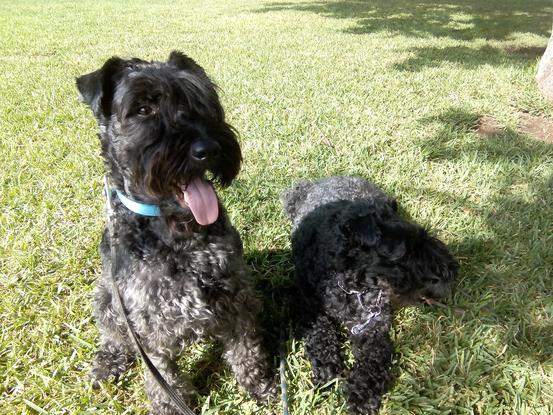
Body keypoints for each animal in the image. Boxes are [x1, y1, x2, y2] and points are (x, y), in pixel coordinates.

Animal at [76, 52, 274, 415]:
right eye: (142, 108)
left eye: (200, 101)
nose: (207, 148)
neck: (177, 236)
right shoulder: (149, 327)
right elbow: (163, 378)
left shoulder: (237, 297)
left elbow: (247, 352)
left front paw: (261, 388)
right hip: (106, 298)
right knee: (112, 335)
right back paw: (107, 362)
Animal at [280, 176, 458, 415]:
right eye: (407, 252)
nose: (451, 270)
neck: (352, 285)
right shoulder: (305, 305)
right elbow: (320, 333)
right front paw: (328, 369)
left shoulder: (371, 328)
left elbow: (372, 362)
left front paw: (361, 396)